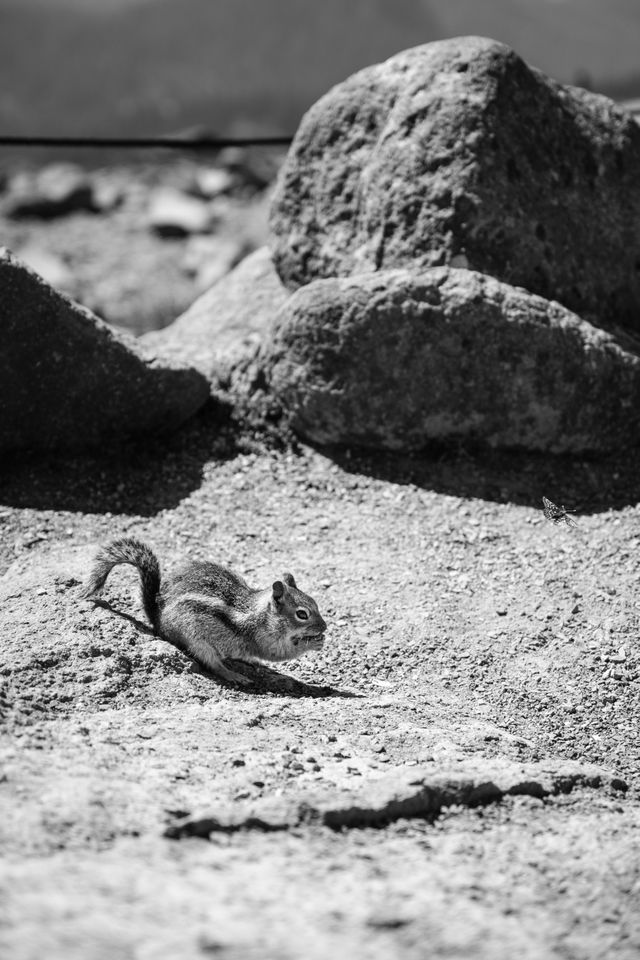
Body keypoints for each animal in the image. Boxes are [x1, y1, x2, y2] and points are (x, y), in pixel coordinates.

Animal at [82, 536, 328, 688]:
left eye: (316, 603)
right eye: (302, 614)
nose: (324, 627)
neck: (262, 615)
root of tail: (157, 617)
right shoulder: (263, 638)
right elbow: (279, 653)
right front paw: (314, 643)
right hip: (196, 639)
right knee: (213, 663)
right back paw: (234, 674)